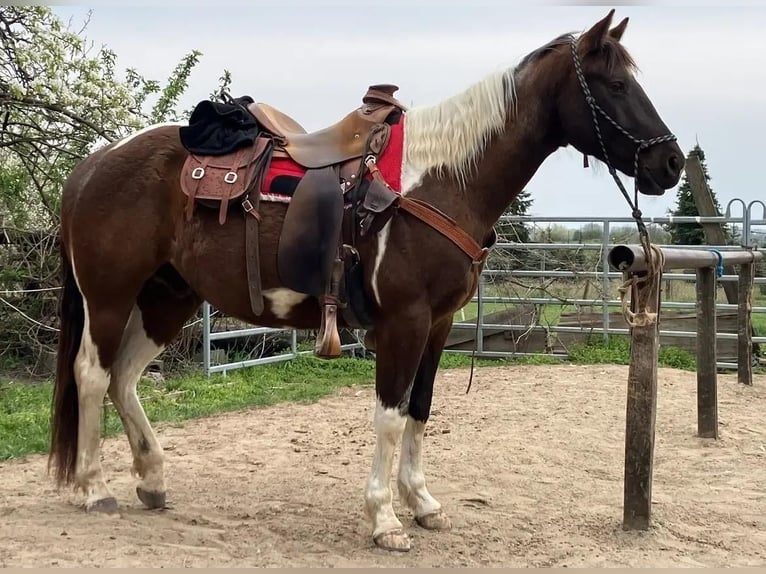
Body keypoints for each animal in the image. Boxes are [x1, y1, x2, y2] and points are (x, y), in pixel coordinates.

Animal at [48, 10, 683, 552]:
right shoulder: (404, 321)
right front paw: (384, 519)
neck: (441, 183)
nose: (671, 164)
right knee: (92, 374)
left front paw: (422, 504)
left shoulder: (439, 324)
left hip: (168, 298)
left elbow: (420, 410)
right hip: (110, 295)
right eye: (616, 86)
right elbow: (389, 416)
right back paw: (96, 488)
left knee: (124, 378)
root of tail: (95, 164)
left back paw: (152, 481)